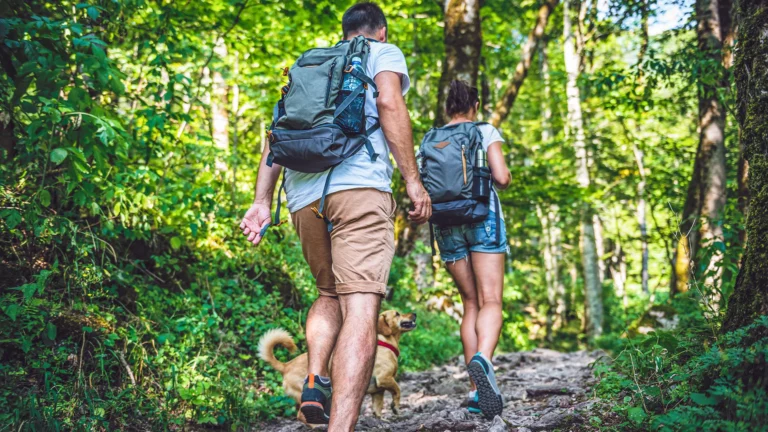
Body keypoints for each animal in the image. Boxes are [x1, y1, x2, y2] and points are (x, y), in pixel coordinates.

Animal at [258, 310, 416, 418]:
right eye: (397, 314)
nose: (414, 314)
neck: (385, 342)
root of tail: (286, 366)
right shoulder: (385, 379)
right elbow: (398, 390)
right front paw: (396, 407)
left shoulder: (378, 391)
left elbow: (377, 409)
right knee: (302, 416)